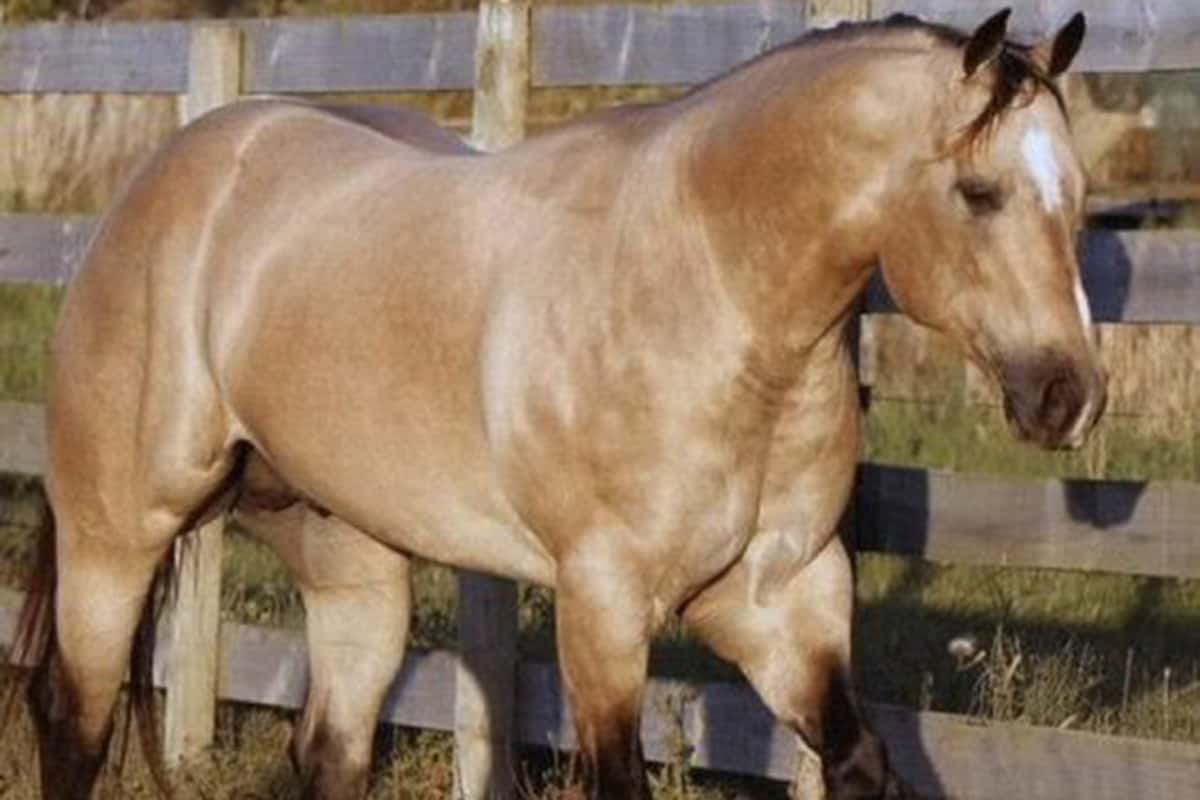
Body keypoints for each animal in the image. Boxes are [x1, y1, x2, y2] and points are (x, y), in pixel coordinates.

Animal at [9, 7, 1104, 799]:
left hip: (349, 561)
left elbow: (860, 758)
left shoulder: (783, 599)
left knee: (329, 750)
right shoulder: (604, 604)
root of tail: (168, 176)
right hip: (118, 535)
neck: (708, 293)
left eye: (1080, 195)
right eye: (978, 193)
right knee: (75, 725)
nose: (1069, 396)